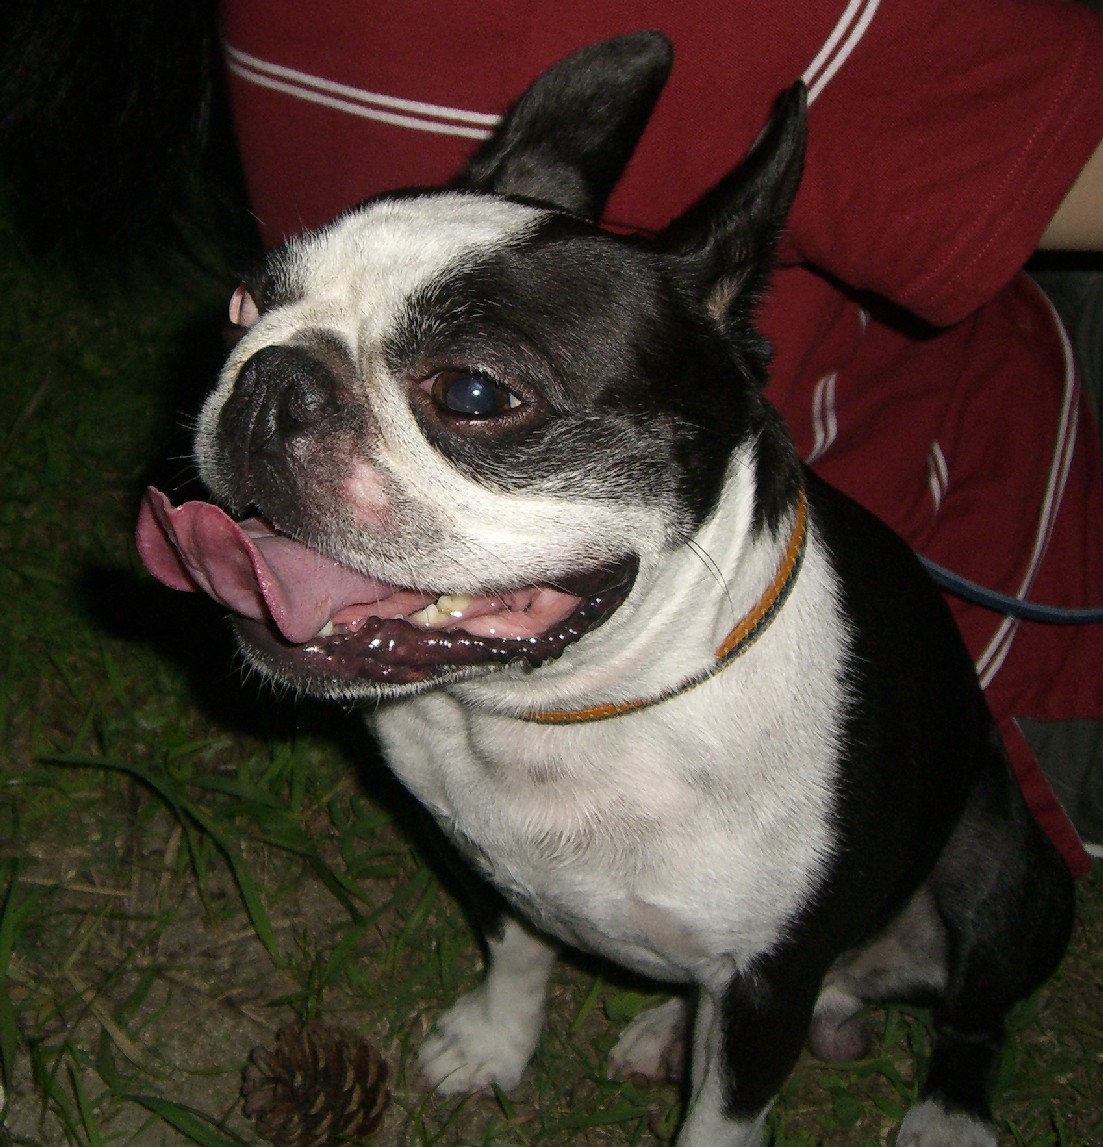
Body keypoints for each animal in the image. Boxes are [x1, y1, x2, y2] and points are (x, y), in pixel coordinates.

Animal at [136, 32, 1074, 1147]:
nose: (268, 377)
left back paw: (944, 1113)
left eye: (473, 392)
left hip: (1010, 879)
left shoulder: (770, 981)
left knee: (975, 1009)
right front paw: (494, 1043)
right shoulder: (490, 869)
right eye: (241, 307)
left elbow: (722, 1114)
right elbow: (517, 954)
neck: (572, 710)